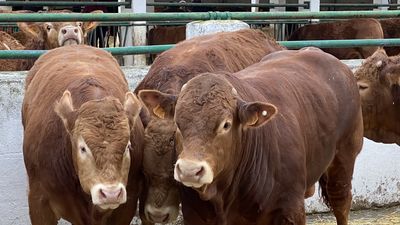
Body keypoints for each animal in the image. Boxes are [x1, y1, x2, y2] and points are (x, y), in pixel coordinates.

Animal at [149, 48, 362, 224]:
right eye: (177, 123)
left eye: (226, 124)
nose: (189, 170)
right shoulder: (194, 214)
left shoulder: (290, 210)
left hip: (344, 158)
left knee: (341, 201)